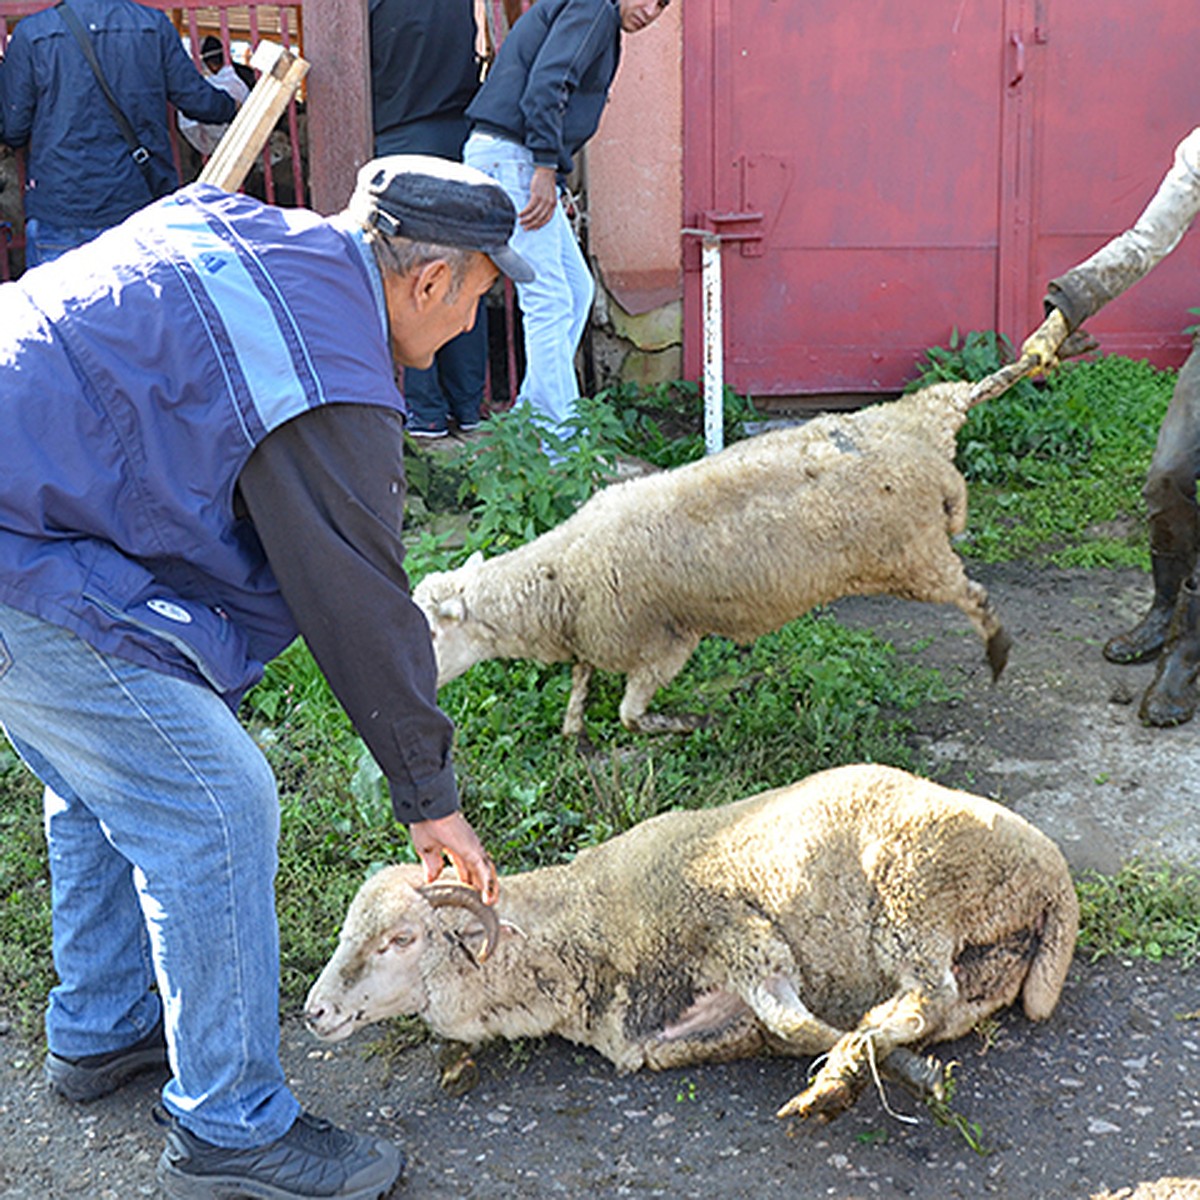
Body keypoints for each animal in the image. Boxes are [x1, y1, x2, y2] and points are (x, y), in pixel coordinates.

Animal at [307, 763, 1080, 1118]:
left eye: (400, 938)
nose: (313, 1012)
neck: (584, 919)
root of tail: (1054, 879)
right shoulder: (661, 1039)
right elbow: (786, 1031)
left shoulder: (734, 929)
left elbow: (797, 1022)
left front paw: (861, 1071)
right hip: (982, 956)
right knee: (935, 1007)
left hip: (913, 898)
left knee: (924, 998)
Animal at [417, 369, 1027, 734]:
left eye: (432, 635)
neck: (559, 579)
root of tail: (928, 445)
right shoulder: (593, 637)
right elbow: (581, 681)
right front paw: (573, 728)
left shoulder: (663, 647)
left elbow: (630, 715)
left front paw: (680, 725)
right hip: (910, 459)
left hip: (916, 556)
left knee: (972, 595)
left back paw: (997, 646)